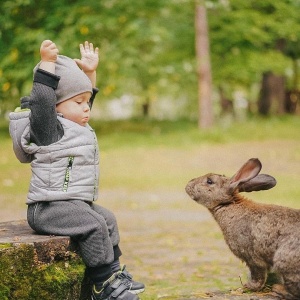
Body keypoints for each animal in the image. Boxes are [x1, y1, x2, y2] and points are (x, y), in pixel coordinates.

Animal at [185, 158, 300, 298]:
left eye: (209, 181)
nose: (188, 184)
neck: (228, 204)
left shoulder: (251, 256)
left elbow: (257, 274)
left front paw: (247, 287)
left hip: (283, 260)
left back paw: (278, 289)